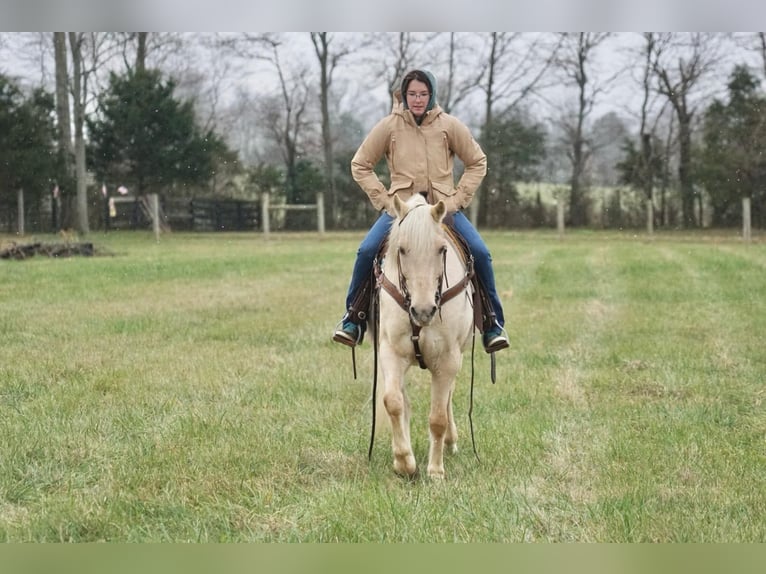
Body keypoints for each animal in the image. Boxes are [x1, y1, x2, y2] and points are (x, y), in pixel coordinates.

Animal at [376, 195, 476, 482]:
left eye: (441, 249)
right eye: (401, 250)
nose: (423, 311)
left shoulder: (448, 360)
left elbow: (438, 417)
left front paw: (435, 471)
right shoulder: (390, 352)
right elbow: (393, 402)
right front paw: (404, 462)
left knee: (448, 400)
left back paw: (450, 442)